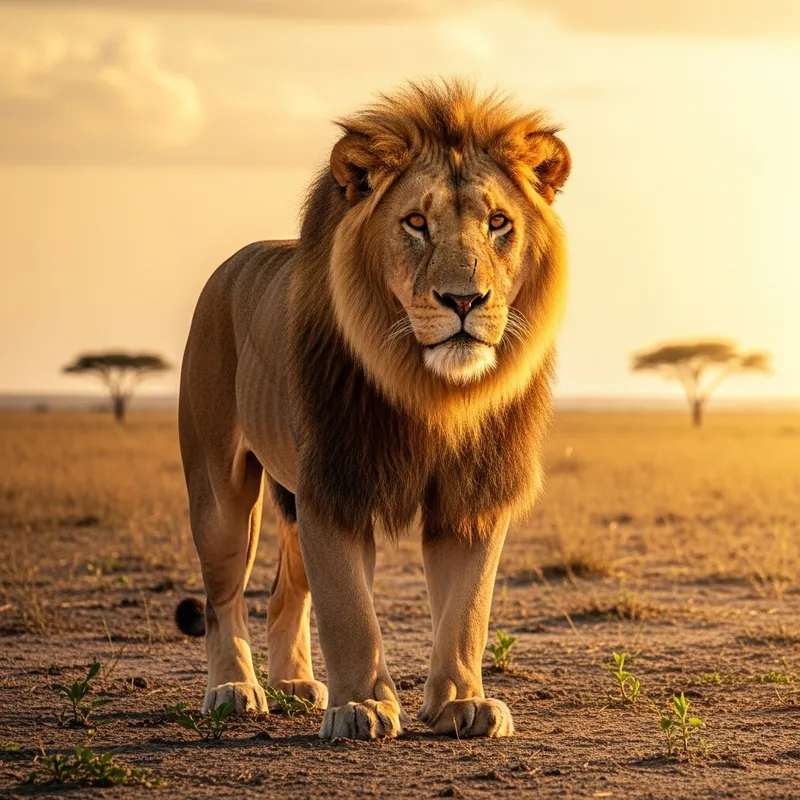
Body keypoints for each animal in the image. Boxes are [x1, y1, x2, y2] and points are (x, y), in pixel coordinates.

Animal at [175, 79, 570, 740]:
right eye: (415, 222)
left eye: (498, 223)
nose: (464, 300)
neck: (433, 391)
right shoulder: (336, 484)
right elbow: (349, 611)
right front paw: (360, 707)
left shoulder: (473, 494)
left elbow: (467, 609)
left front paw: (463, 702)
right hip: (220, 491)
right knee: (223, 595)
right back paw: (234, 689)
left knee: (284, 592)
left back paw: (293, 684)